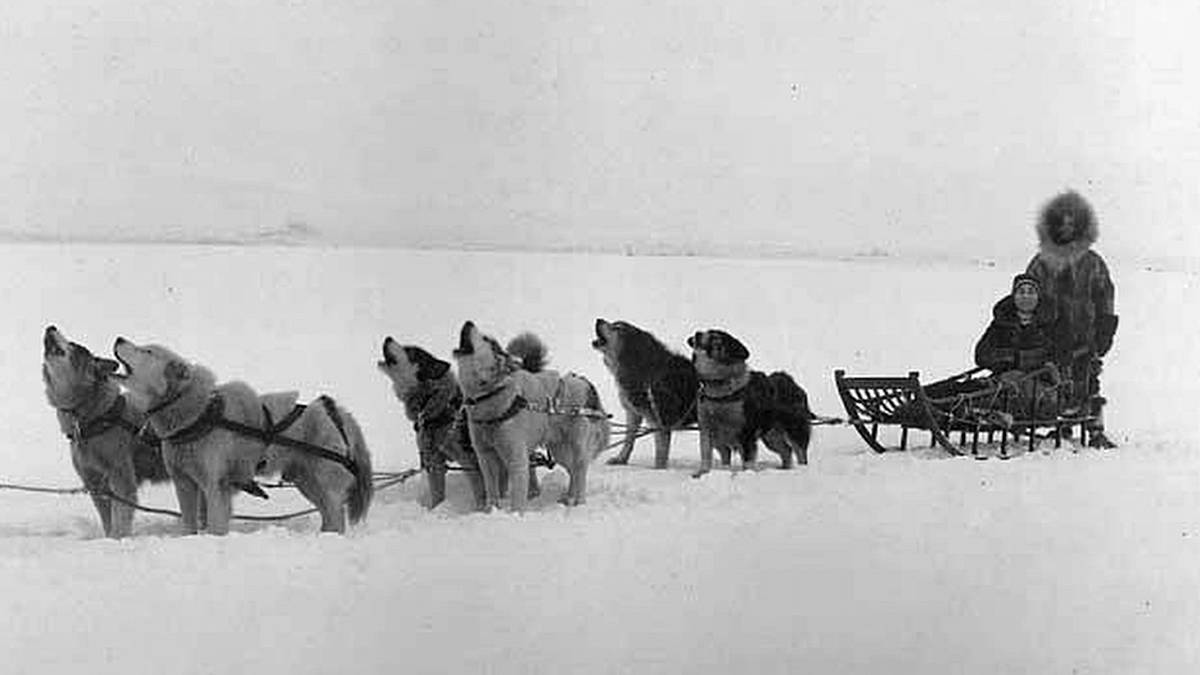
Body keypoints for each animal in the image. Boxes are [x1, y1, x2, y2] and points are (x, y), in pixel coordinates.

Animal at [40, 326, 169, 535]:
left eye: (75, 346)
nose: (51, 327)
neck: (98, 418)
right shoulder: (94, 483)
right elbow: (107, 521)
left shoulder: (121, 478)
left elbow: (120, 519)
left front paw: (119, 538)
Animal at [115, 333, 374, 530]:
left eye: (147, 351)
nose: (119, 338)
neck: (196, 414)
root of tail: (335, 411)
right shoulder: (184, 484)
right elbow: (189, 526)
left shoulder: (215, 487)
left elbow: (215, 526)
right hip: (306, 480)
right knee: (329, 515)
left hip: (323, 480)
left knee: (336, 514)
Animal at [453, 319, 614, 509]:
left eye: (486, 340)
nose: (469, 322)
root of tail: (587, 384)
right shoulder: (486, 457)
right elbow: (492, 491)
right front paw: (490, 511)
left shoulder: (517, 458)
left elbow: (517, 498)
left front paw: (514, 513)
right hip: (560, 450)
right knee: (573, 471)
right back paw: (568, 497)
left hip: (577, 446)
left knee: (580, 471)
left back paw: (578, 503)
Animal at [588, 317, 700, 466]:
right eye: (615, 324)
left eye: (617, 328)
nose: (598, 319)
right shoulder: (633, 413)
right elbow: (629, 440)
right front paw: (621, 459)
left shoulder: (660, 423)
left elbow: (660, 455)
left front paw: (659, 470)